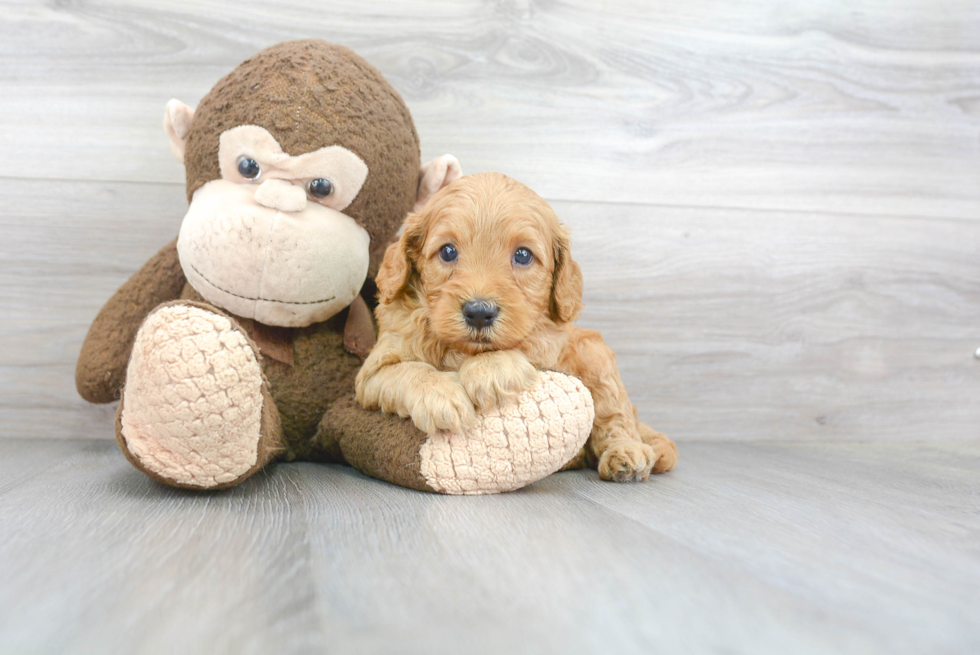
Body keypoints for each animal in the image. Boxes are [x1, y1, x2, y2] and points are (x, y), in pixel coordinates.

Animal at [356, 174, 676, 482]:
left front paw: (492, 368)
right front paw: (442, 397)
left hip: (595, 354)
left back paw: (627, 453)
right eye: (447, 251)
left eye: (522, 255)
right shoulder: (371, 375)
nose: (479, 313)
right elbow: (408, 370)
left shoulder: (552, 343)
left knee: (616, 416)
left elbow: (523, 346)